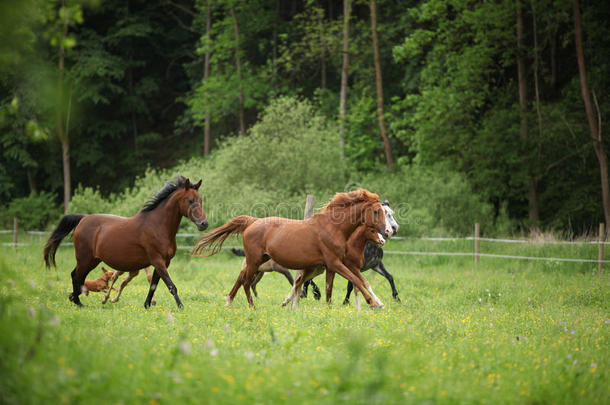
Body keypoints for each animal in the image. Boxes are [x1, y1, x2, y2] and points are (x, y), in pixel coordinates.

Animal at [44, 175, 208, 308]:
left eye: (200, 200)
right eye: (190, 200)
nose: (204, 224)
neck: (158, 225)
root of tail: (83, 218)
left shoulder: (163, 263)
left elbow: (153, 285)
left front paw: (147, 305)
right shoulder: (157, 260)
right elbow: (171, 285)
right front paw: (181, 307)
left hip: (92, 260)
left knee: (78, 276)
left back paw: (75, 298)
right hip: (85, 259)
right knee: (76, 276)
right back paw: (78, 302)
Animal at [192, 188, 388, 308]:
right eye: (376, 211)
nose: (386, 232)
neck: (333, 227)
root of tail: (253, 222)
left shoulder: (331, 266)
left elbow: (329, 289)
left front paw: (328, 309)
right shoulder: (335, 263)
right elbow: (356, 280)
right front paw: (373, 303)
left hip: (259, 260)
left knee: (241, 279)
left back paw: (229, 302)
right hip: (254, 261)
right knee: (247, 282)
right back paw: (252, 307)